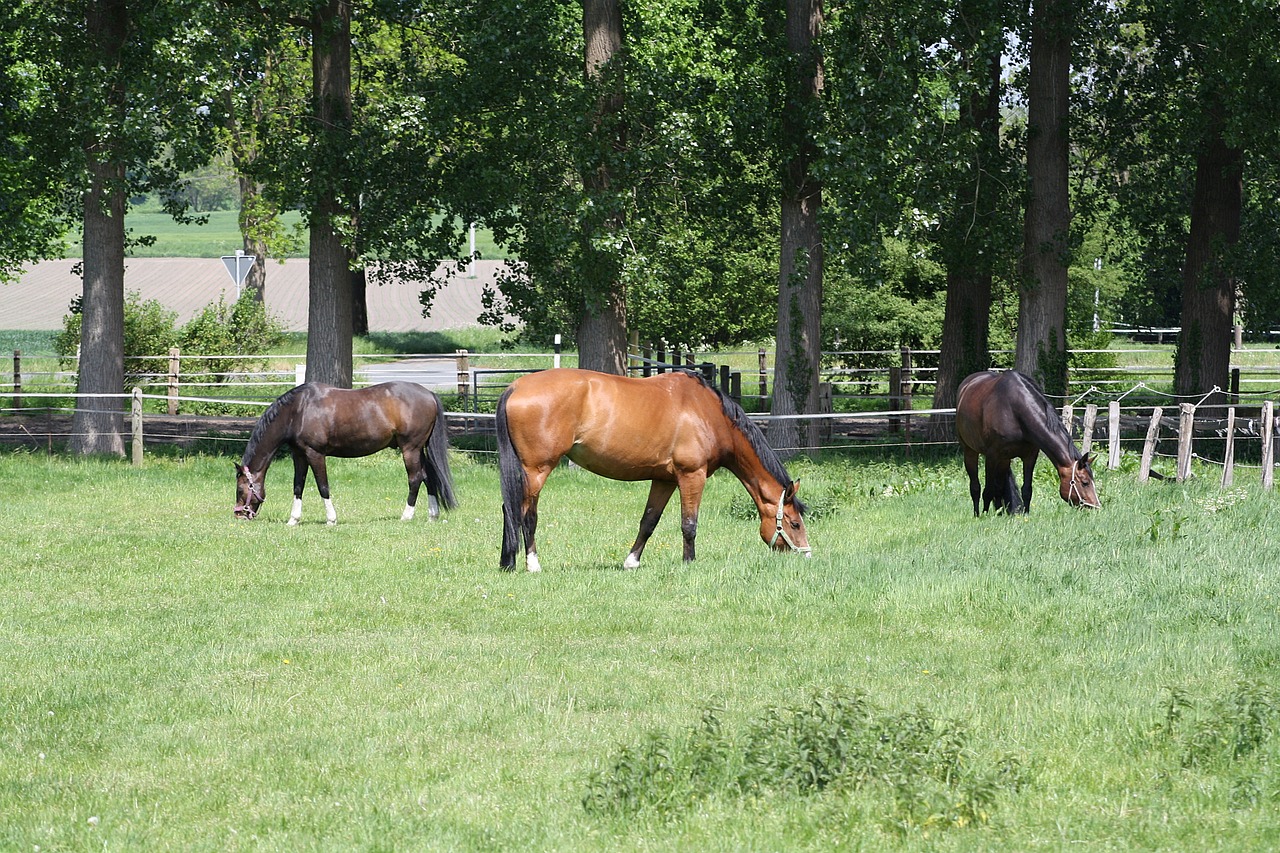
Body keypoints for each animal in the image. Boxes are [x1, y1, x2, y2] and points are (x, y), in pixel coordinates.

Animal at [232, 379, 458, 525]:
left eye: (241, 489)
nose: (239, 515)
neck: (298, 411)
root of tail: (429, 394)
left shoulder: (315, 454)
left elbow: (323, 486)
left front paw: (331, 520)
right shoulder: (299, 455)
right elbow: (298, 486)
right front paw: (293, 520)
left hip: (410, 449)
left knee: (415, 478)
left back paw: (406, 516)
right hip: (419, 449)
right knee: (428, 476)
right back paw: (432, 516)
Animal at [491, 366, 803, 571]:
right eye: (795, 523)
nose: (805, 554)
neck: (708, 412)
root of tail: (515, 387)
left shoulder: (664, 480)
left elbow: (649, 521)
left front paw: (632, 562)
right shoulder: (692, 476)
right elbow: (689, 524)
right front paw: (689, 563)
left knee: (509, 509)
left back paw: (508, 562)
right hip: (537, 470)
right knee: (525, 514)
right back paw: (532, 564)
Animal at [952, 366, 1100, 512]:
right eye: (1085, 482)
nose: (1095, 507)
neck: (1014, 410)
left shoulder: (1030, 456)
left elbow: (1027, 490)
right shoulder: (992, 456)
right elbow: (987, 491)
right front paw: (985, 515)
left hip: (1004, 460)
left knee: (999, 488)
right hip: (971, 452)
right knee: (975, 487)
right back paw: (977, 514)